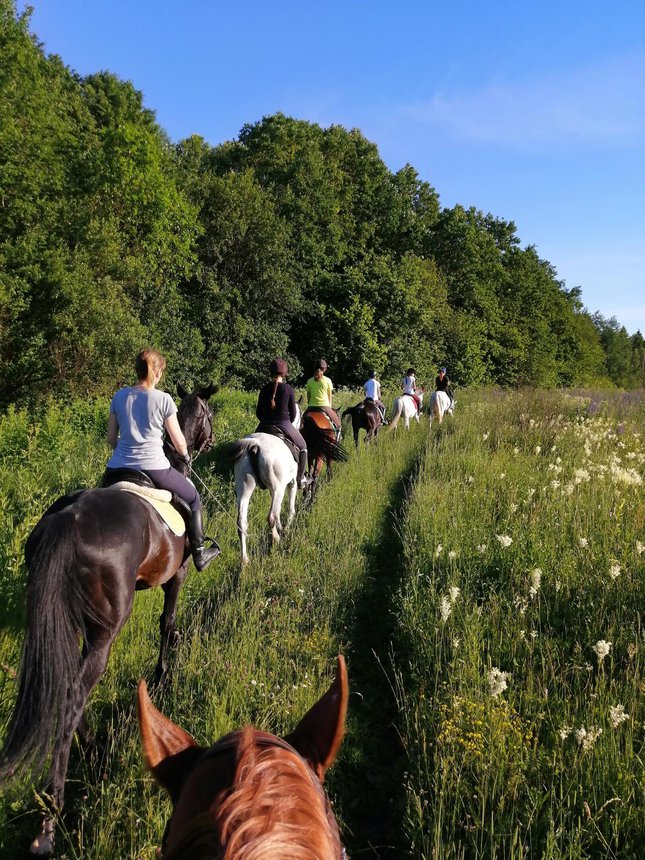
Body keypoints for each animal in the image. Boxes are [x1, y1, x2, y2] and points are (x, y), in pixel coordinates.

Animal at [0, 385, 216, 856]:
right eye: (207, 414)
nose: (206, 443)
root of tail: (67, 520)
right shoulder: (177, 576)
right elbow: (167, 625)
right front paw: (163, 675)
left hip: (67, 623)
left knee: (62, 683)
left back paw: (95, 751)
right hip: (104, 631)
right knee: (72, 692)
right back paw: (50, 820)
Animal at [228, 405, 303, 565]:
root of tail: (254, 445)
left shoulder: (272, 490)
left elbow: (279, 509)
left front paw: (281, 527)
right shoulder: (291, 484)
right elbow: (290, 509)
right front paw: (286, 528)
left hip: (245, 487)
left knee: (241, 522)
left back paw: (245, 559)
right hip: (278, 488)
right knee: (271, 516)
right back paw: (276, 539)